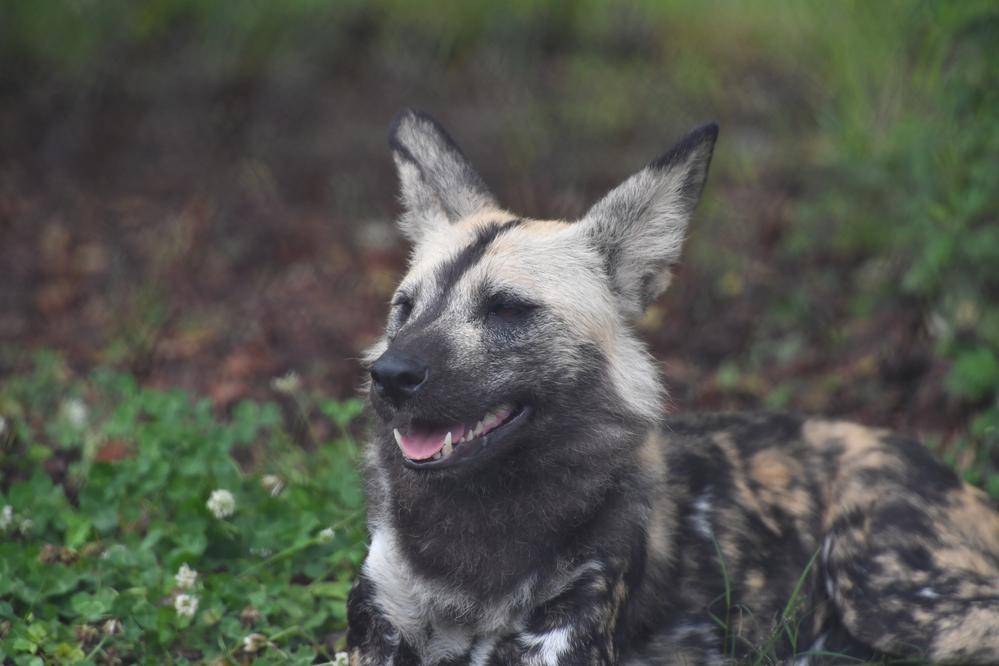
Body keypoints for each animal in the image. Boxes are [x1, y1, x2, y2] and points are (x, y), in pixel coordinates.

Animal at [350, 110, 999, 664]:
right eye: (404, 309)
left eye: (506, 309)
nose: (391, 375)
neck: (481, 528)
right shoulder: (378, 619)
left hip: (884, 594)